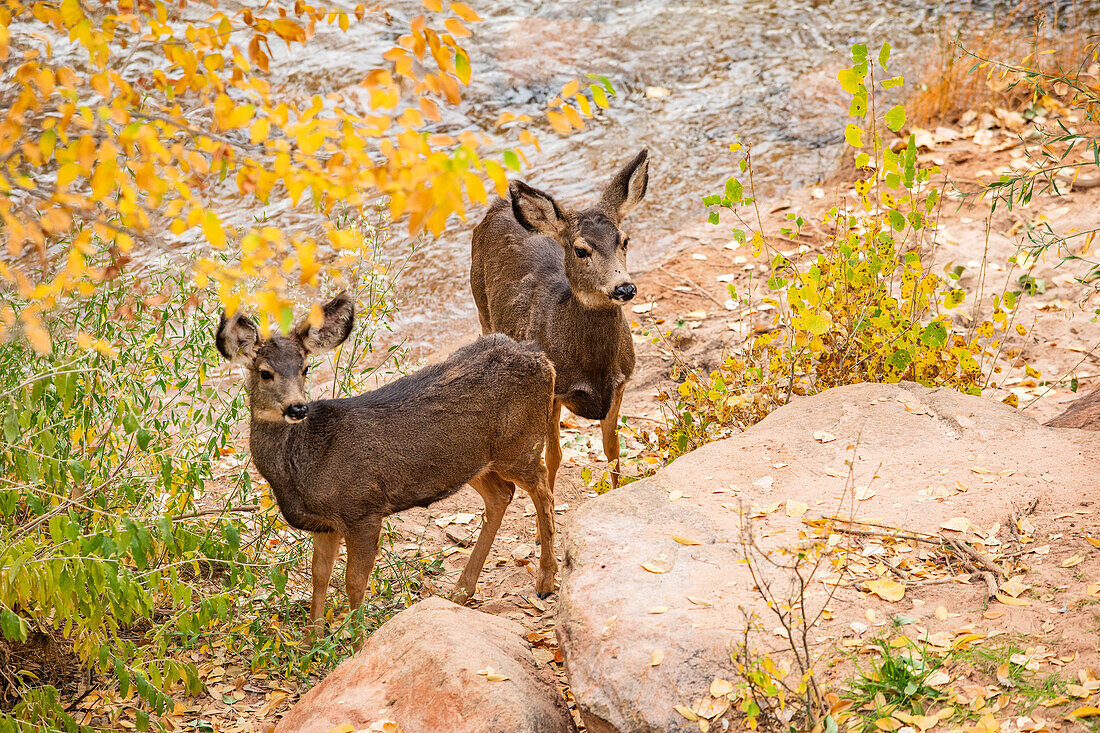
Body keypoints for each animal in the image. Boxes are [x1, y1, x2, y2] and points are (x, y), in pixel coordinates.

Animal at [214, 292, 558, 633]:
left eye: (305, 368)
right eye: (265, 372)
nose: (297, 408)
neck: (303, 468)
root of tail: (543, 359)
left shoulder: (362, 509)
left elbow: (354, 582)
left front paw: (357, 638)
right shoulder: (325, 524)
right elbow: (319, 576)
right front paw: (313, 640)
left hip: (519, 443)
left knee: (542, 487)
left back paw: (545, 580)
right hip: (471, 461)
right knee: (501, 495)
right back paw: (461, 591)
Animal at [468, 147, 646, 490]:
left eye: (625, 240)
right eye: (581, 250)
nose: (624, 287)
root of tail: (499, 204)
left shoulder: (621, 382)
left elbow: (613, 450)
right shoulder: (553, 391)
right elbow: (553, 458)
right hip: (480, 301)